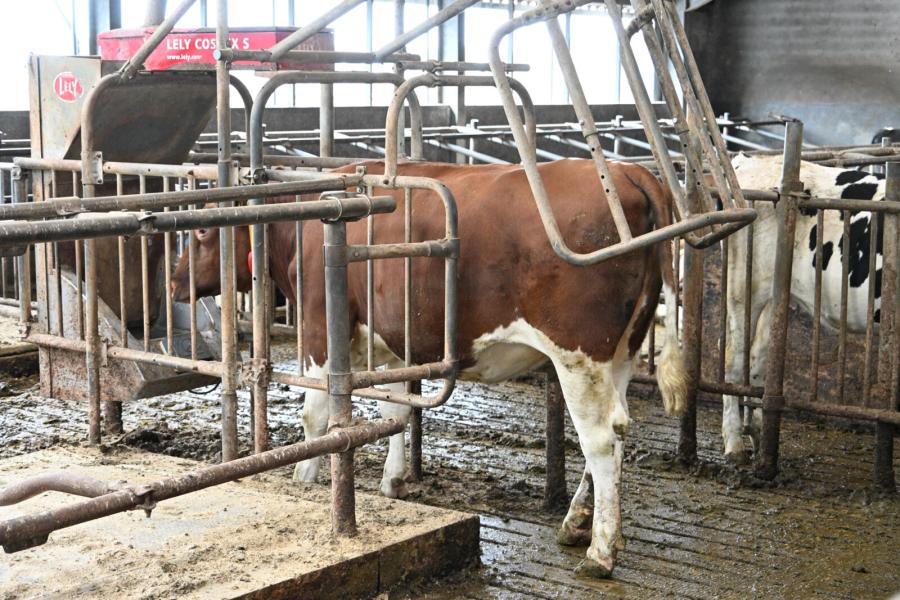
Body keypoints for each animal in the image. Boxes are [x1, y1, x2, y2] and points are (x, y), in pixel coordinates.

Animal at [172, 159, 688, 577]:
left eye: (200, 232)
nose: (175, 283)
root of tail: (629, 171)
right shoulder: (395, 340)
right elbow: (396, 412)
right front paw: (393, 481)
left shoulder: (321, 327)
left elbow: (315, 415)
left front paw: (304, 479)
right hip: (621, 349)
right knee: (618, 427)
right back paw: (577, 523)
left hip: (578, 352)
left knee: (600, 439)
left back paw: (601, 551)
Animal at [721, 153, 886, 462]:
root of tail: (753, 160)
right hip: (743, 286)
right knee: (732, 360)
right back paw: (734, 444)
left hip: (775, 298)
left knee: (757, 357)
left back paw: (758, 432)